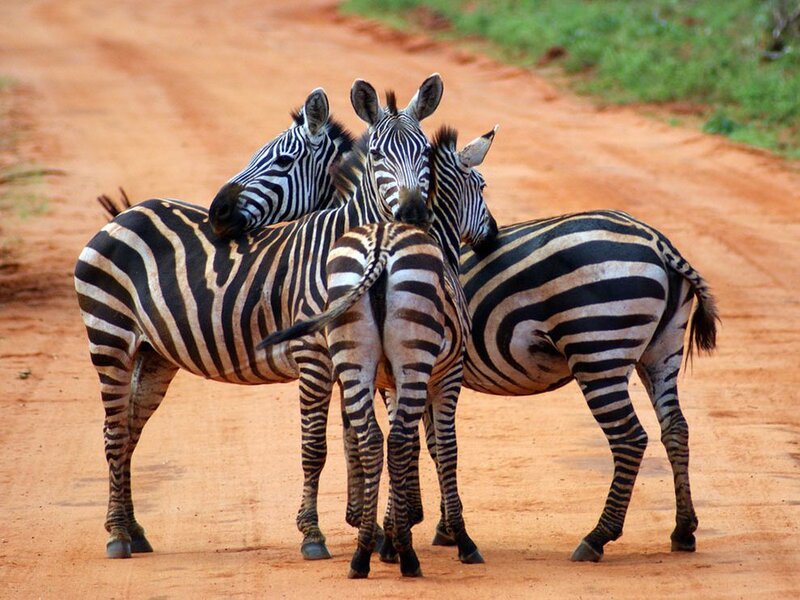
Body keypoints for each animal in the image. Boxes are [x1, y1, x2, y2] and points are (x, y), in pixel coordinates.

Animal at [74, 74, 445, 561]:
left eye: (426, 154)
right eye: (379, 155)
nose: (413, 212)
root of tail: (127, 213)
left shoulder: (347, 358)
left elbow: (356, 441)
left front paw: (374, 532)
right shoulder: (312, 357)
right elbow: (315, 448)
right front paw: (313, 535)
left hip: (154, 353)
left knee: (130, 429)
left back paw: (133, 529)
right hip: (110, 337)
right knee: (114, 431)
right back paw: (117, 534)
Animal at [258, 125, 498, 577]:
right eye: (481, 185)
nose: (493, 235)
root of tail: (380, 250)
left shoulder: (388, 381)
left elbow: (402, 445)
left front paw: (391, 526)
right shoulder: (447, 375)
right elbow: (442, 449)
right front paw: (454, 536)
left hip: (357, 360)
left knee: (373, 438)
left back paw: (363, 552)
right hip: (414, 362)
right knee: (399, 438)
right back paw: (406, 556)